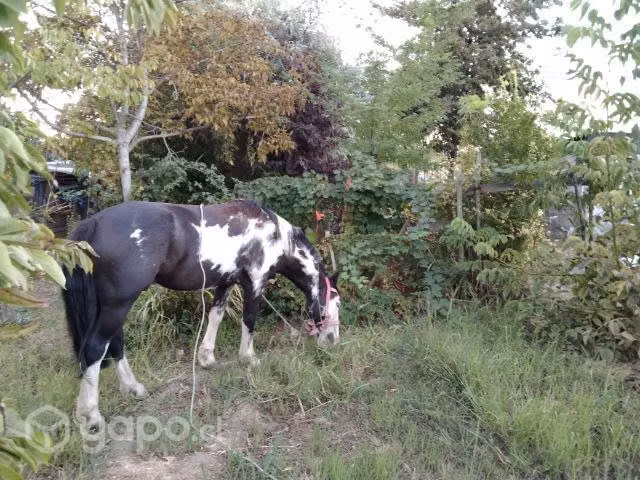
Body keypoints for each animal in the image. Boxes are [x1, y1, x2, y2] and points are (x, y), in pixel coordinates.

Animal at [62, 199, 341, 429]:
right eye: (336, 302)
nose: (333, 341)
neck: (275, 236)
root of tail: (93, 223)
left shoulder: (225, 283)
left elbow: (216, 317)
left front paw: (207, 358)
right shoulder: (255, 284)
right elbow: (249, 321)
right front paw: (249, 359)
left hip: (111, 306)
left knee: (115, 344)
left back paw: (133, 388)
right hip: (119, 303)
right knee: (96, 348)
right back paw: (91, 415)